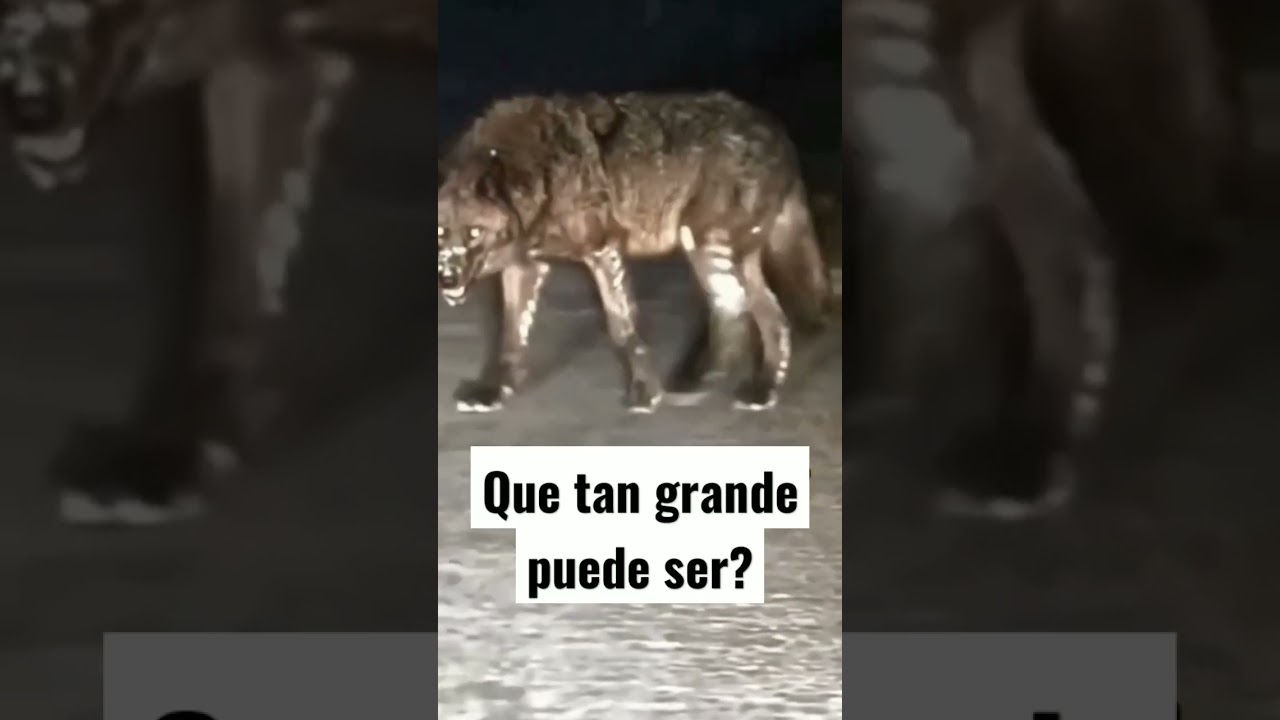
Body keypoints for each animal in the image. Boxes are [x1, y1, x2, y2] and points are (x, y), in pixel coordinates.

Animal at [437, 91, 835, 414]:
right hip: (720, 255)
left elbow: (623, 330)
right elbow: (510, 335)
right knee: (751, 313)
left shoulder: (602, 252)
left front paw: (644, 393)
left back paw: (731, 386)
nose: (447, 279)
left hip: (708, 246)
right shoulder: (525, 267)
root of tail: (777, 131)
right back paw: (727, 384)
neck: (535, 172)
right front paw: (491, 390)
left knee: (753, 314)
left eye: (474, 233)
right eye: (440, 233)